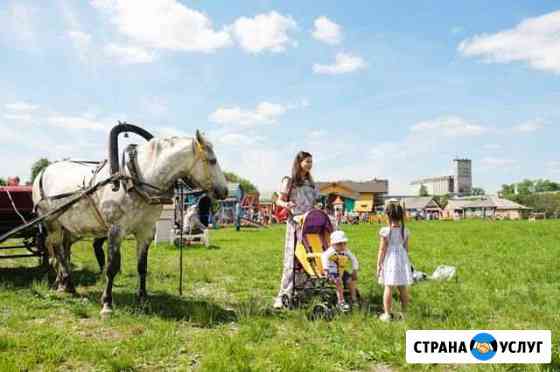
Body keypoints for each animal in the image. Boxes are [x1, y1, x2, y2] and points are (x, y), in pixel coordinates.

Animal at [32, 131, 228, 314]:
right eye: (212, 160)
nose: (225, 191)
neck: (136, 180)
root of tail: (42, 173)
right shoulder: (115, 230)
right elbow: (111, 267)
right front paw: (107, 303)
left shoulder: (146, 232)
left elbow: (142, 267)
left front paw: (143, 298)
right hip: (52, 223)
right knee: (58, 251)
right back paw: (68, 284)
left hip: (69, 228)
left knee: (63, 251)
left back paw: (63, 284)